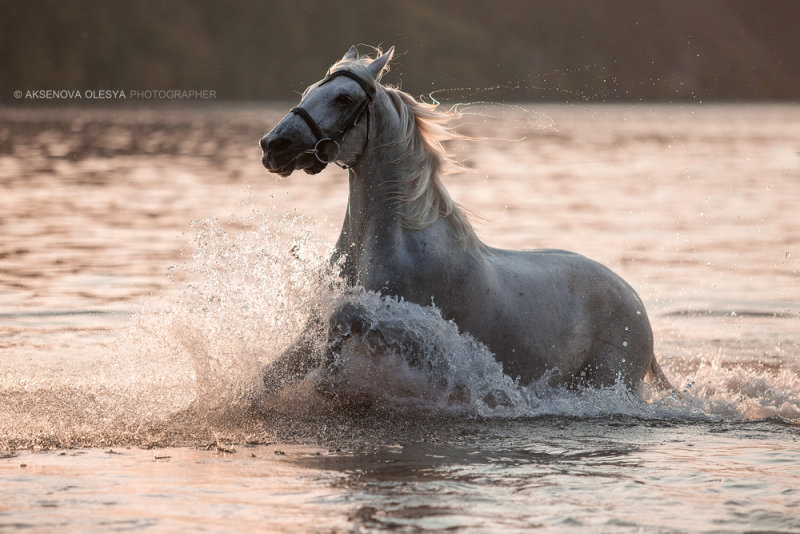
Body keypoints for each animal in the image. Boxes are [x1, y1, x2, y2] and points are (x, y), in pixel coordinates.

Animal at [258, 46, 668, 396]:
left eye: (343, 98)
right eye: (310, 90)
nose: (273, 146)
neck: (399, 241)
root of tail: (635, 302)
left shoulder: (405, 332)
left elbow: (345, 316)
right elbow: (278, 369)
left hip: (605, 380)